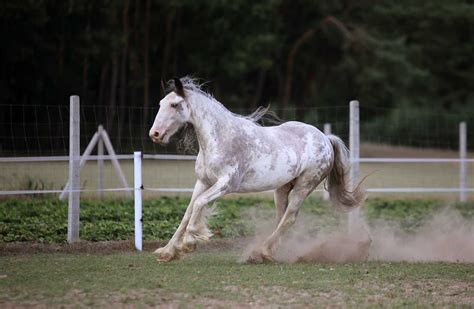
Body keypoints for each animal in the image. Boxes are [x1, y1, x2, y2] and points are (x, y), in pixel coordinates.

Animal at [150, 76, 364, 262]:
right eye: (160, 103)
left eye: (174, 104)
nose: (155, 134)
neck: (220, 138)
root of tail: (325, 138)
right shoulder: (203, 182)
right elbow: (188, 211)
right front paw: (168, 251)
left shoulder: (226, 184)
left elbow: (199, 204)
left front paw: (189, 243)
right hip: (282, 188)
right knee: (281, 217)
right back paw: (266, 252)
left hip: (304, 187)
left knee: (289, 218)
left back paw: (261, 252)